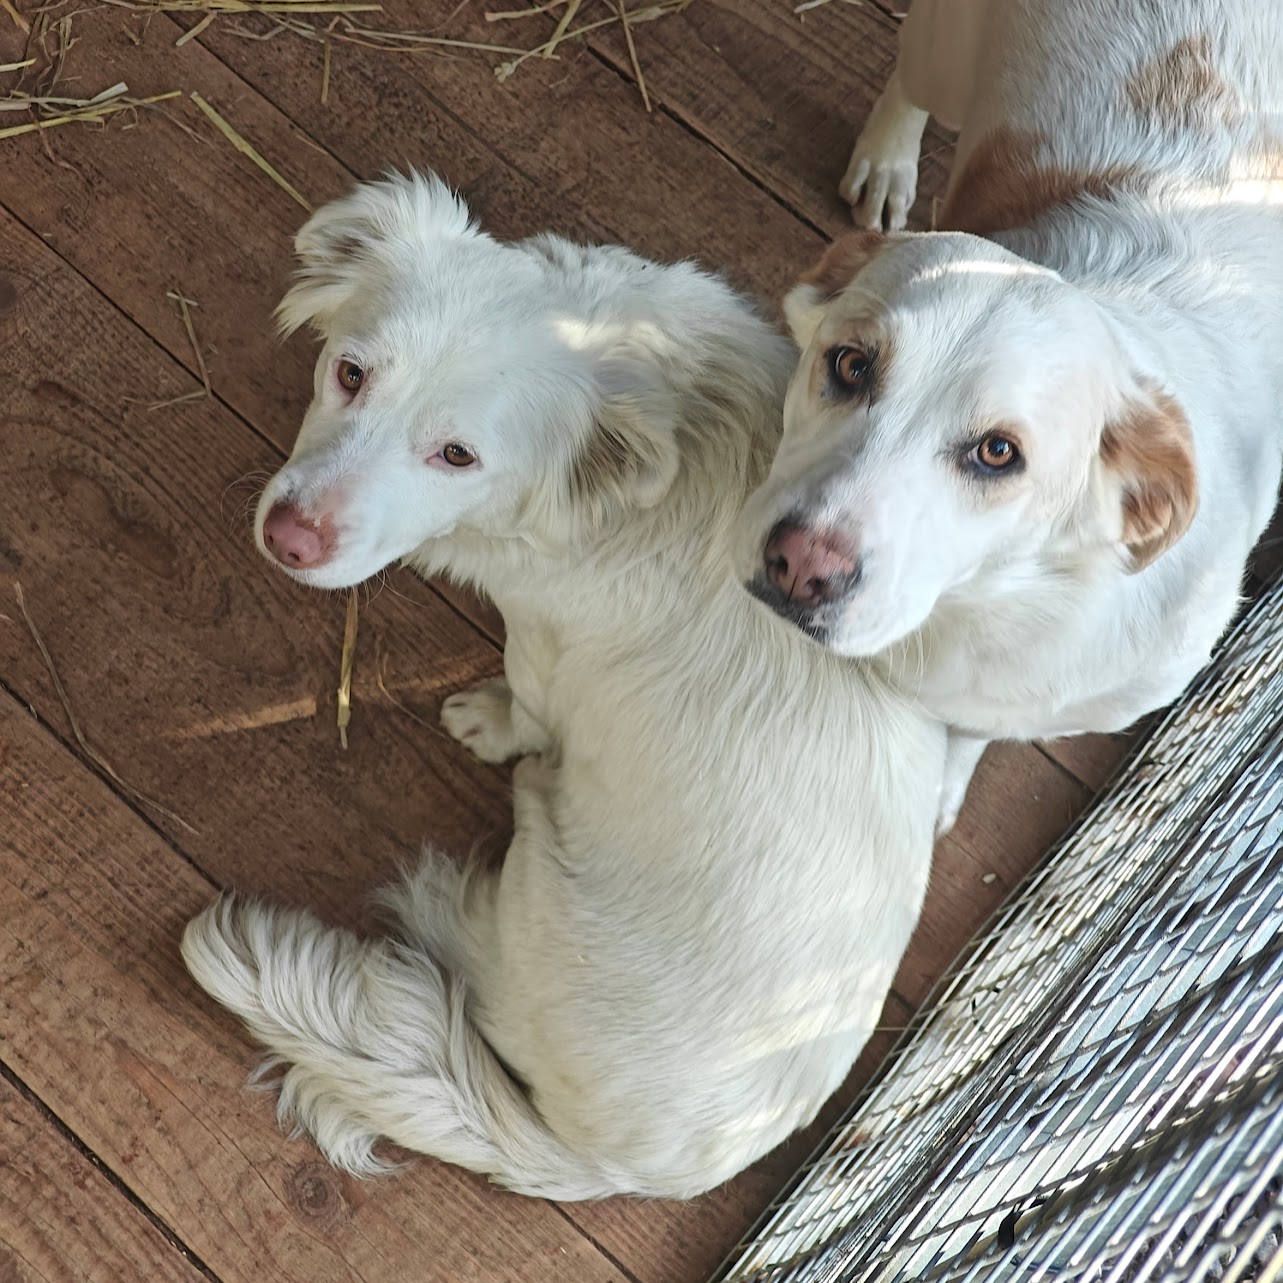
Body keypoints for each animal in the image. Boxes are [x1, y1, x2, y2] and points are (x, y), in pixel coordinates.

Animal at [181, 174, 946, 1200]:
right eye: (349, 373)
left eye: (457, 455)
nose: (289, 538)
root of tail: (611, 1168)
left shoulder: (544, 651)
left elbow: (518, 700)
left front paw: (482, 718)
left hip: (532, 886)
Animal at [738, 0, 1283, 834]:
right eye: (850, 365)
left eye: (997, 453)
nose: (800, 566)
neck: (981, 605)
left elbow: (974, 729)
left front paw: (941, 783)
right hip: (943, 53)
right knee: (911, 83)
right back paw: (886, 161)